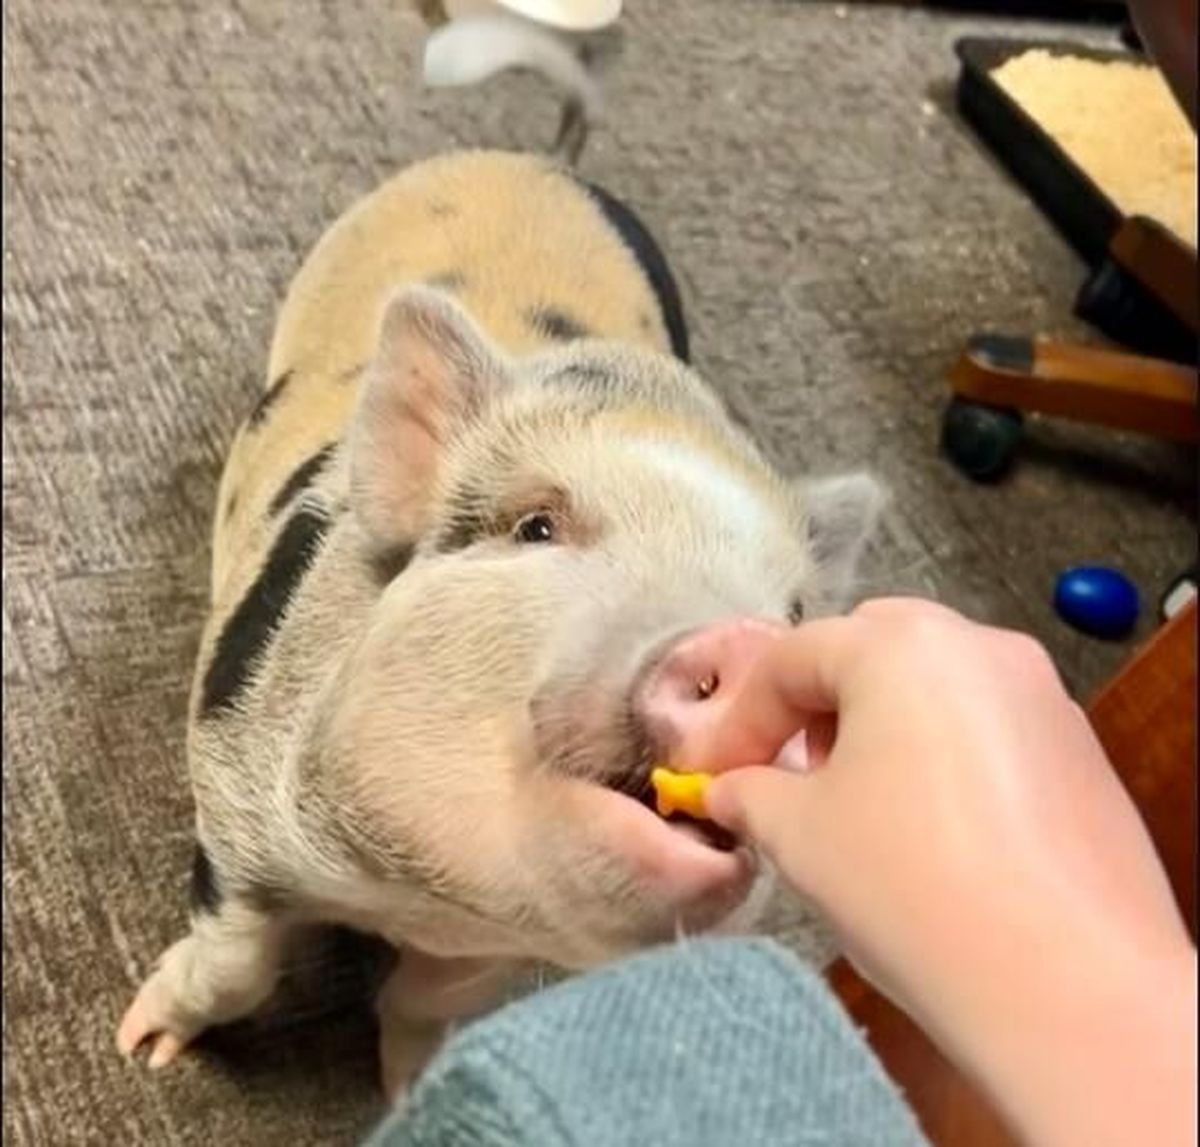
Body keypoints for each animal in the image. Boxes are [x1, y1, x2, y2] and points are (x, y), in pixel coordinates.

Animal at [117, 147, 883, 1099]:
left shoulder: (490, 950)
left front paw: (409, 1091)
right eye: (537, 527)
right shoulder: (229, 800)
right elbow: (233, 961)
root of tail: (540, 161)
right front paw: (144, 1047)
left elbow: (421, 1005)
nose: (746, 640)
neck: (412, 898)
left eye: (794, 612)